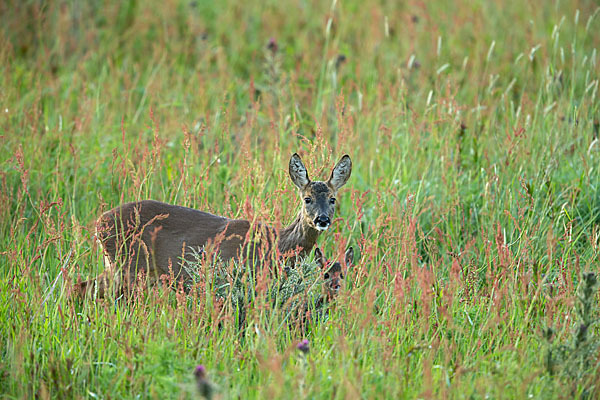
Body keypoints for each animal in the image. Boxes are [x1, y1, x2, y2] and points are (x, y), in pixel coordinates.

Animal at [77, 153, 354, 296]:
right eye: (307, 198)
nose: (322, 219)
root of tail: (99, 223)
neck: (278, 245)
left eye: (332, 198)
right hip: (128, 267)